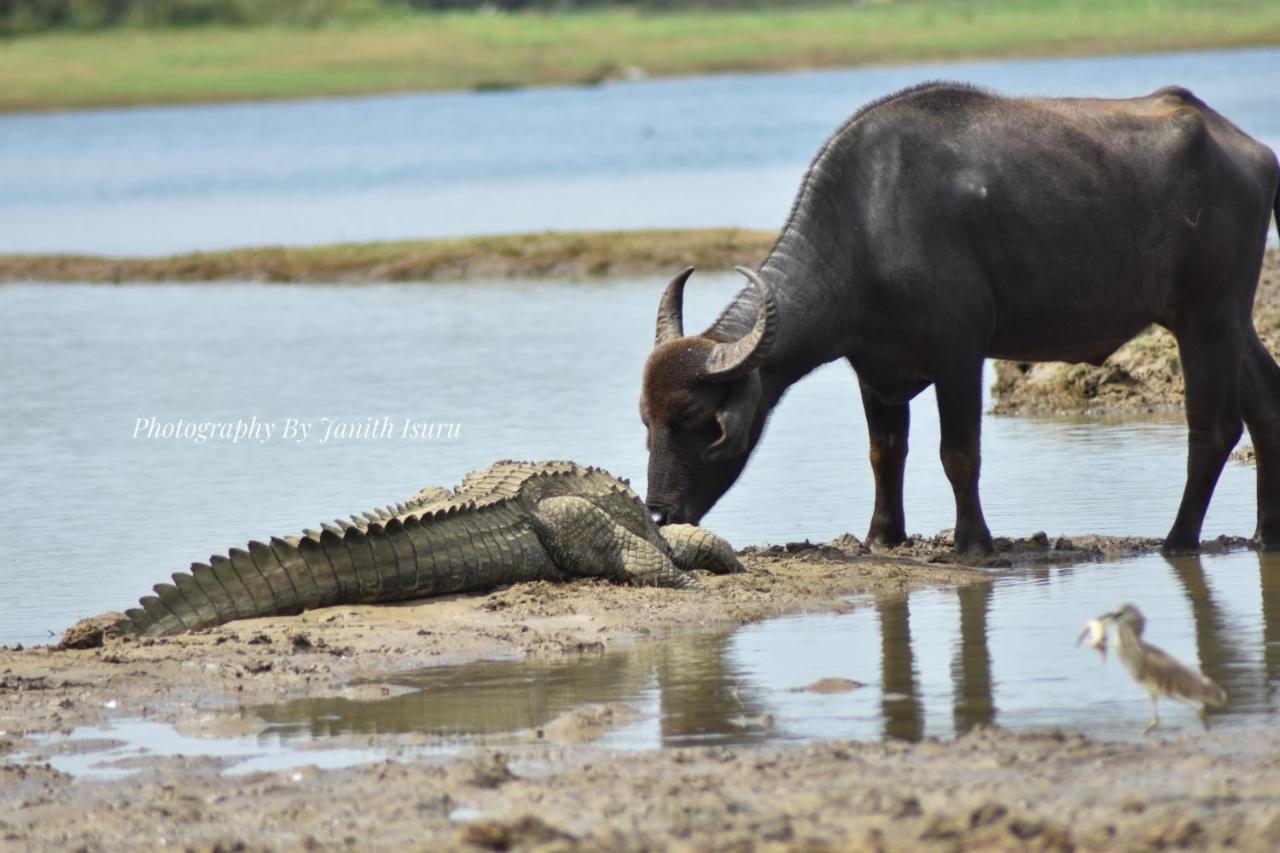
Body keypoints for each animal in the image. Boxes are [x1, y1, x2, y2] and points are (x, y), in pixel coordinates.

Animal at [645, 81, 1280, 550]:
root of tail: (1249, 149)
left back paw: (1178, 539)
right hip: (1227, 320)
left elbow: (959, 453)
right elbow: (884, 453)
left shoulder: (959, 354)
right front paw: (883, 535)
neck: (866, 228)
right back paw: (1263, 533)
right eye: (646, 420)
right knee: (1265, 401)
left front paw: (973, 539)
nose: (658, 514)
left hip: (1206, 317)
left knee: (1213, 428)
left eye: (695, 419)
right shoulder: (875, 369)